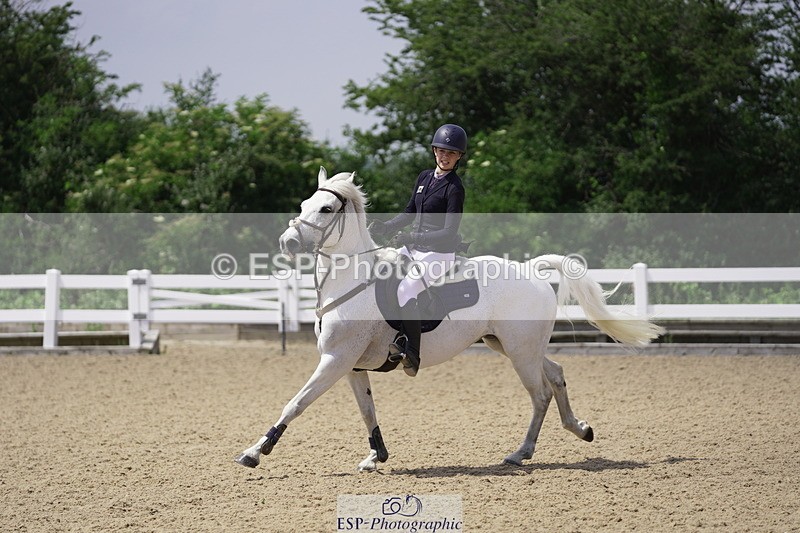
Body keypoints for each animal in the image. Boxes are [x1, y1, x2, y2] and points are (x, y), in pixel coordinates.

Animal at [235, 167, 663, 471]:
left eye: (325, 209)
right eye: (304, 202)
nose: (288, 242)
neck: (351, 279)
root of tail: (532, 270)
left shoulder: (335, 360)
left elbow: (295, 404)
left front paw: (255, 452)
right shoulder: (351, 366)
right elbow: (367, 411)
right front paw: (377, 456)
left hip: (520, 353)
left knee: (540, 393)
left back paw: (520, 453)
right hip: (511, 346)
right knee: (556, 375)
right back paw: (579, 429)